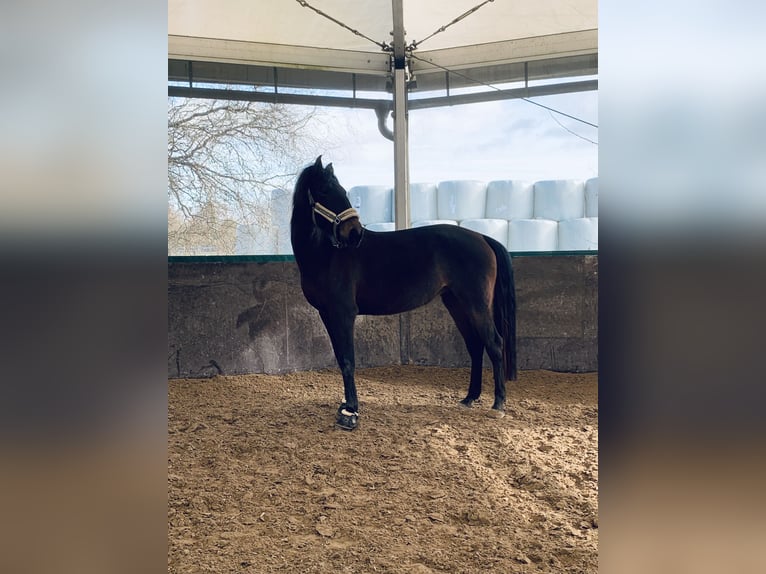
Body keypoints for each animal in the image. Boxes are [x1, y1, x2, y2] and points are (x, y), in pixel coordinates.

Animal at [292, 159, 520, 432]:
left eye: (343, 191)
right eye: (325, 190)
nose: (356, 233)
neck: (326, 255)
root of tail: (482, 237)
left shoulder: (343, 313)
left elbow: (348, 360)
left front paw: (352, 411)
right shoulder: (327, 315)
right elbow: (340, 358)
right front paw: (346, 406)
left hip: (475, 304)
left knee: (494, 343)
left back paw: (498, 405)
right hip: (456, 303)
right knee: (475, 345)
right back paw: (469, 398)